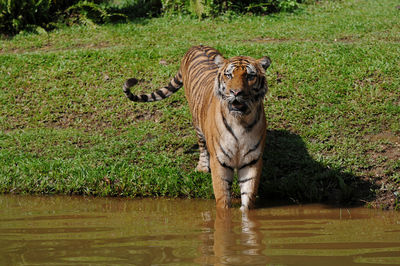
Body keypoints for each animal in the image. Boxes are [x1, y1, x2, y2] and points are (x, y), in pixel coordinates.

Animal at [122, 45, 272, 211]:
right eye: (229, 75)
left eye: (250, 76)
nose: (236, 92)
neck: (240, 120)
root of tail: (196, 46)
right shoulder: (219, 161)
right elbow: (222, 198)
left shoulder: (252, 161)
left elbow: (248, 196)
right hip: (196, 121)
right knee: (202, 145)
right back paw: (202, 167)